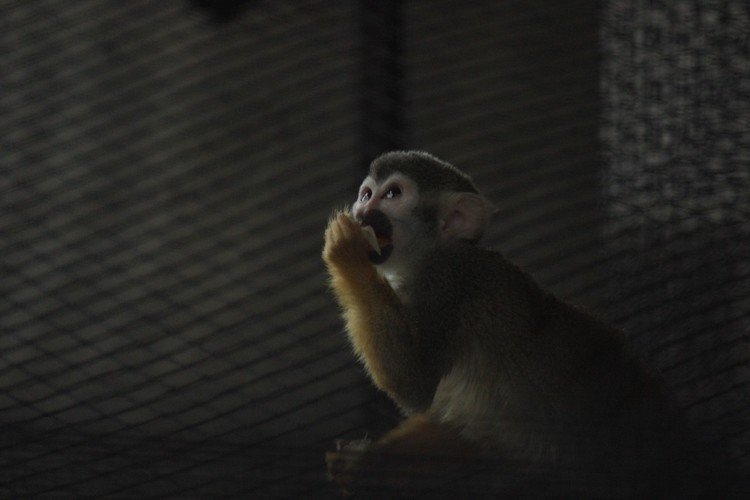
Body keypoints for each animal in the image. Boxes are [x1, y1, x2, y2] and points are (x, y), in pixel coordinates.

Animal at [324, 150, 724, 498]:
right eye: (366, 193)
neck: (430, 254)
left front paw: (347, 252)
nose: (364, 208)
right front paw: (369, 464)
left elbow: (412, 379)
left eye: (392, 194)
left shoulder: (448, 281)